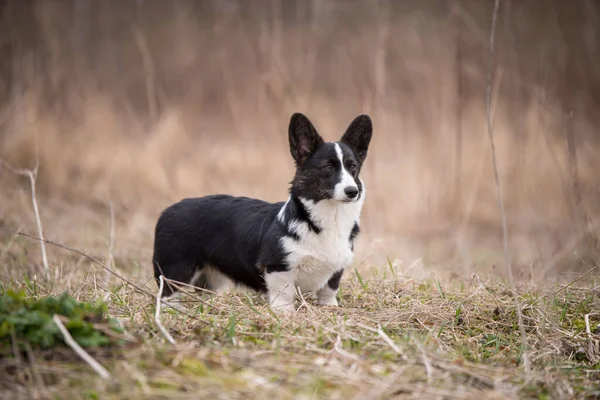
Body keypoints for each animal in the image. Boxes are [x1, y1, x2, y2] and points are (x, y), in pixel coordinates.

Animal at [152, 112, 372, 312]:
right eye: (327, 167)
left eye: (353, 167)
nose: (352, 191)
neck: (330, 217)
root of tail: (167, 211)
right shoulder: (277, 266)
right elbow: (283, 292)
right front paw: (285, 312)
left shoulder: (336, 270)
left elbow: (329, 289)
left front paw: (330, 306)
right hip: (176, 270)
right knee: (168, 294)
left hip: (212, 279)